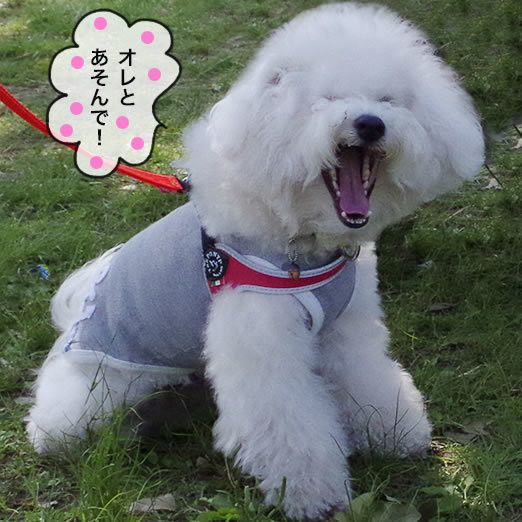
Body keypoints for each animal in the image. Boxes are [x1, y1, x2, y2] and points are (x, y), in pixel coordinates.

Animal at [27, 3, 484, 519]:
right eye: (325, 100)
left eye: (389, 100)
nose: (370, 123)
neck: (300, 241)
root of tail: (74, 320)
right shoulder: (262, 343)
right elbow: (288, 424)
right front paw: (311, 493)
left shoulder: (347, 328)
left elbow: (368, 379)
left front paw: (393, 432)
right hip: (97, 386)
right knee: (58, 419)